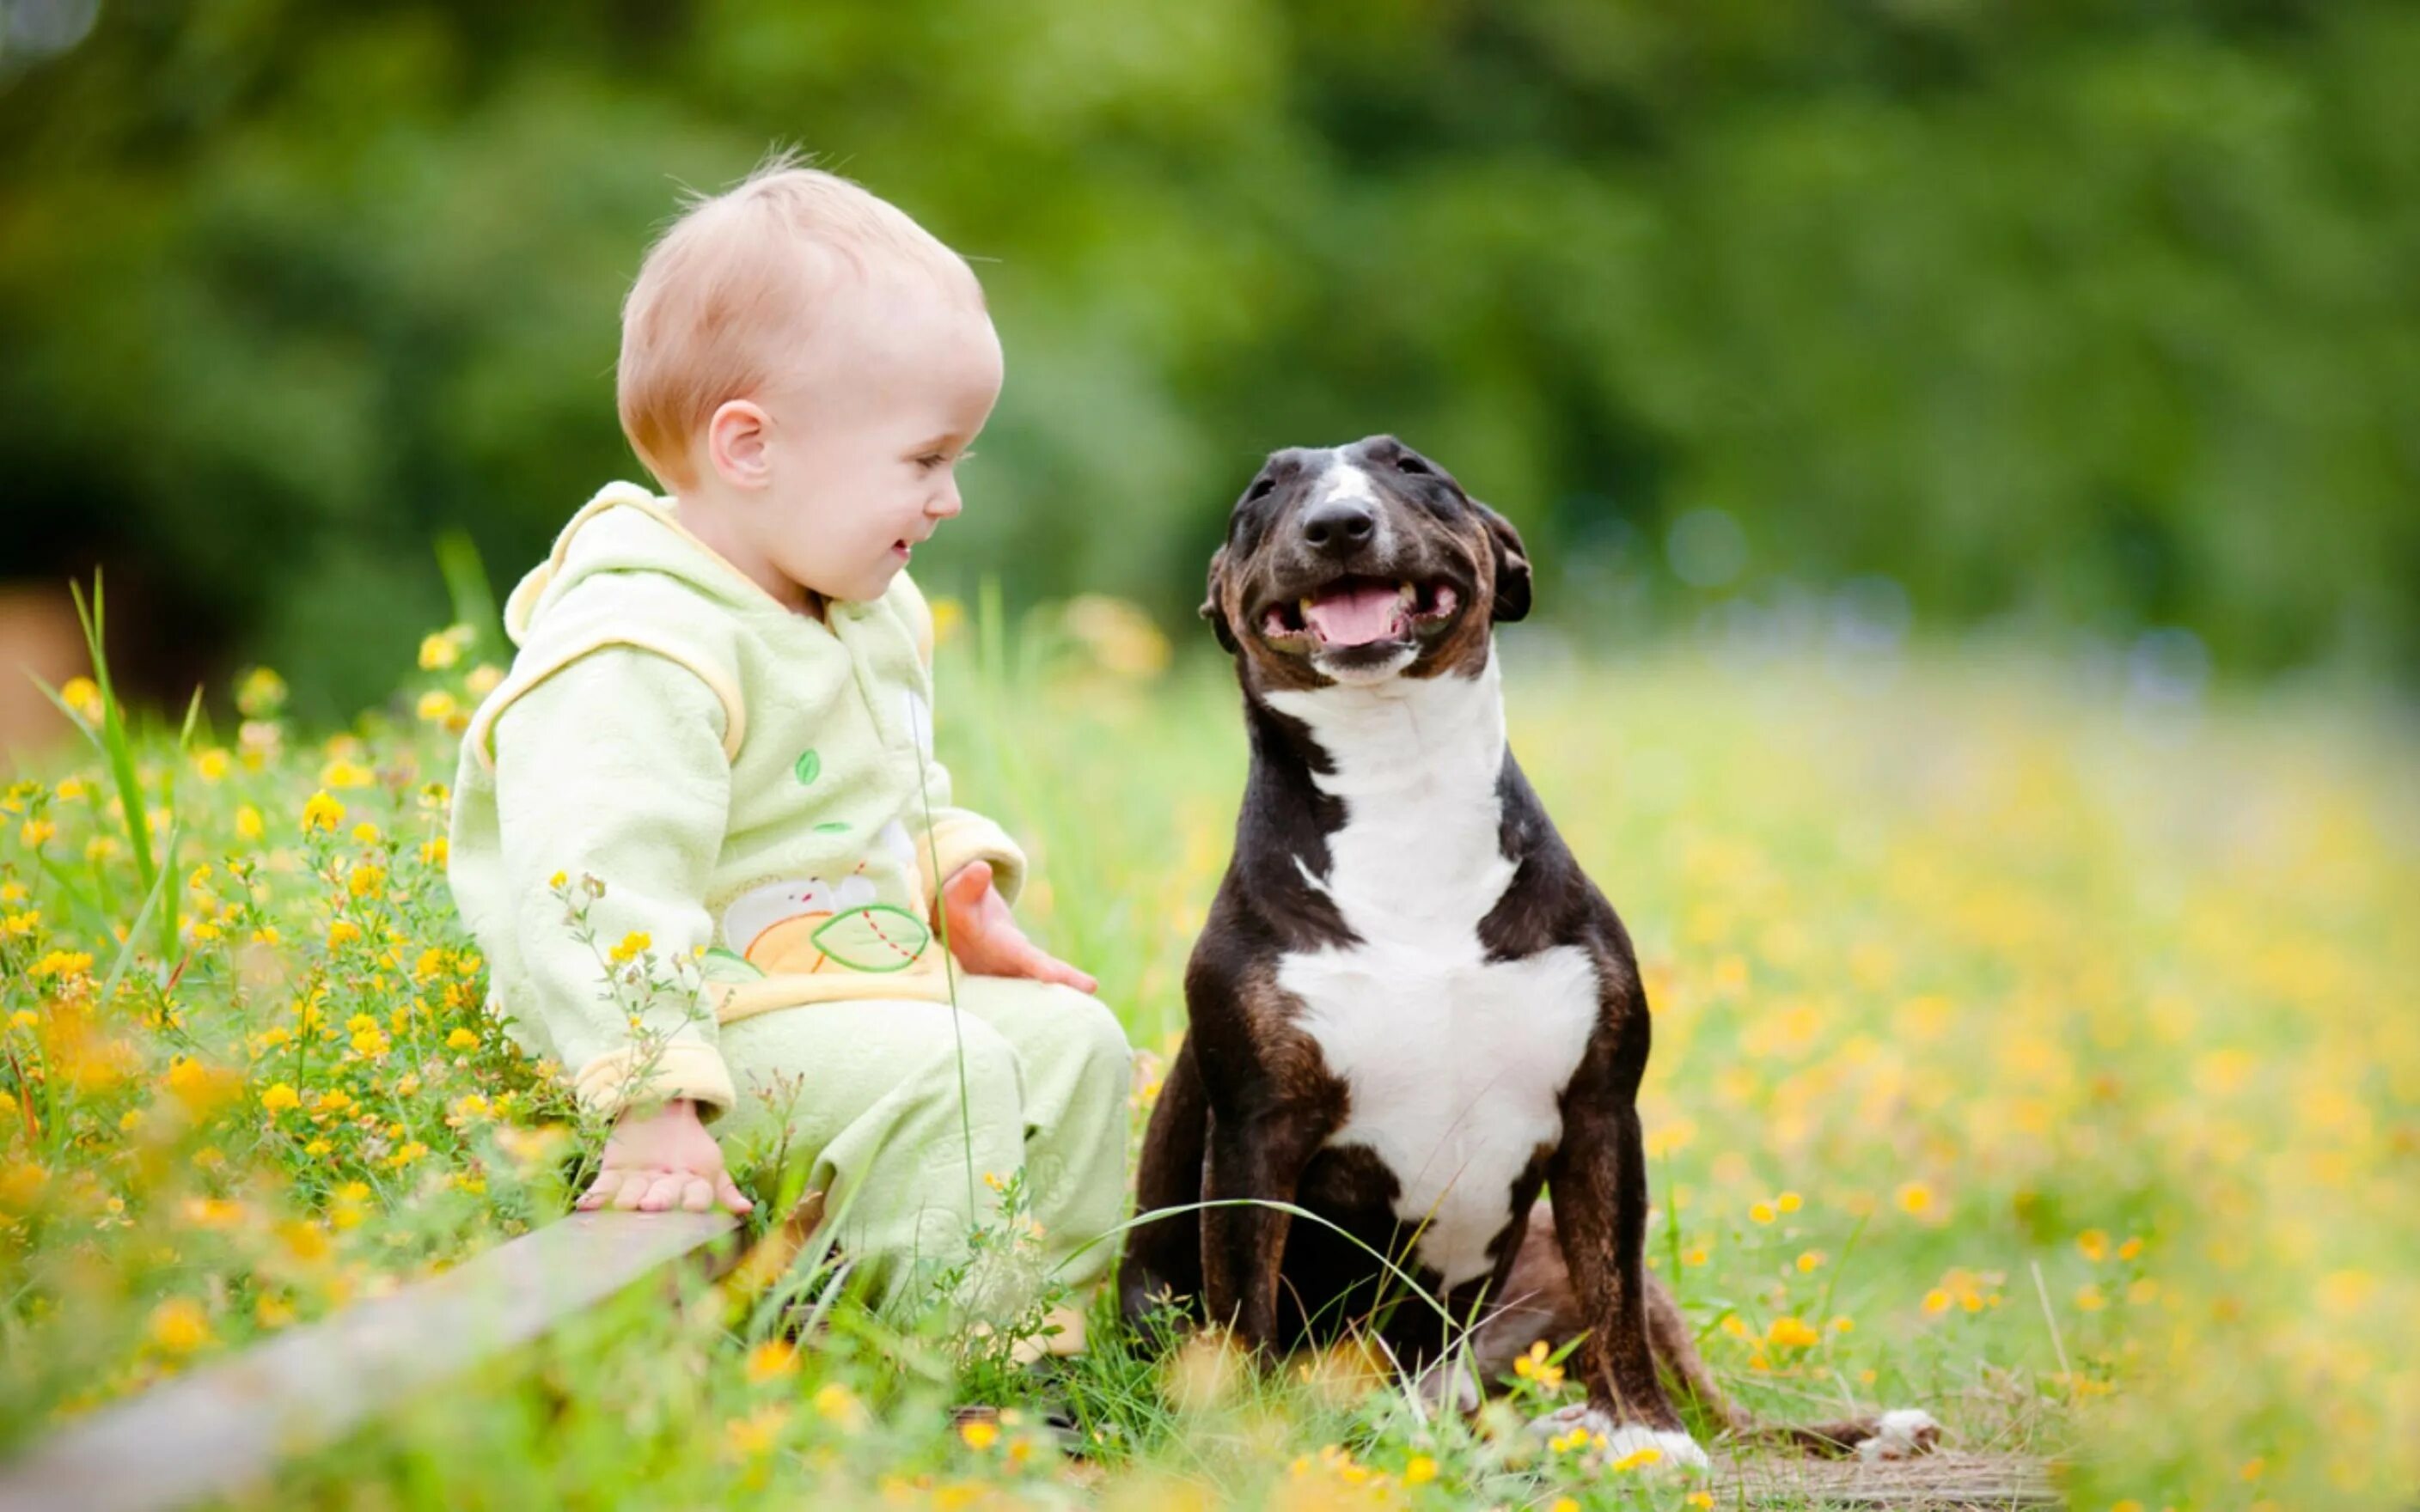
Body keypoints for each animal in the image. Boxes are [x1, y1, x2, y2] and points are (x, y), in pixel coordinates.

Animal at [1122, 433, 1935, 1460]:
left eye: (1413, 469)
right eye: (1263, 492)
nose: (1338, 524)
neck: (1402, 786)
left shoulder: (1599, 1113)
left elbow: (1614, 1299)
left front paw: (1652, 1437)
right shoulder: (1253, 1136)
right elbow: (1245, 1310)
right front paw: (1251, 1444)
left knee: (1717, 1405)